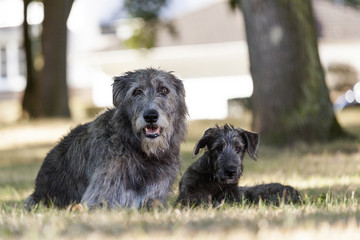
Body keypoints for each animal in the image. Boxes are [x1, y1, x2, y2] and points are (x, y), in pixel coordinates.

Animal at [24, 68, 188, 210]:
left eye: (164, 90)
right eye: (137, 91)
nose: (151, 116)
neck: (138, 150)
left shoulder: (156, 197)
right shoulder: (100, 197)